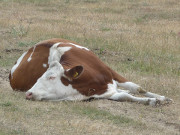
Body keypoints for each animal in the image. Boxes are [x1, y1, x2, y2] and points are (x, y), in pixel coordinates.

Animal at [9, 38, 172, 105]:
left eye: (51, 77)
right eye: (38, 77)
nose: (28, 93)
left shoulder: (111, 72)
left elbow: (137, 88)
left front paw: (161, 98)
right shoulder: (100, 93)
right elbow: (125, 96)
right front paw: (152, 101)